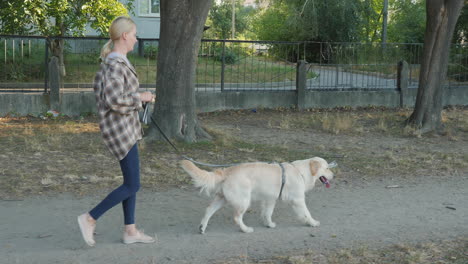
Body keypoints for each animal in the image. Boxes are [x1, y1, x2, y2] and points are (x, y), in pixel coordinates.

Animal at [180, 157, 336, 233]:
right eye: (327, 168)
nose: (333, 176)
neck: (302, 171)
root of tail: (227, 171)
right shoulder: (298, 200)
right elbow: (306, 213)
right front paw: (312, 223)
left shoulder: (270, 199)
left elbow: (267, 213)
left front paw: (269, 224)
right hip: (243, 201)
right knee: (237, 218)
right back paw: (246, 229)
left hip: (222, 198)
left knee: (208, 210)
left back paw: (202, 228)